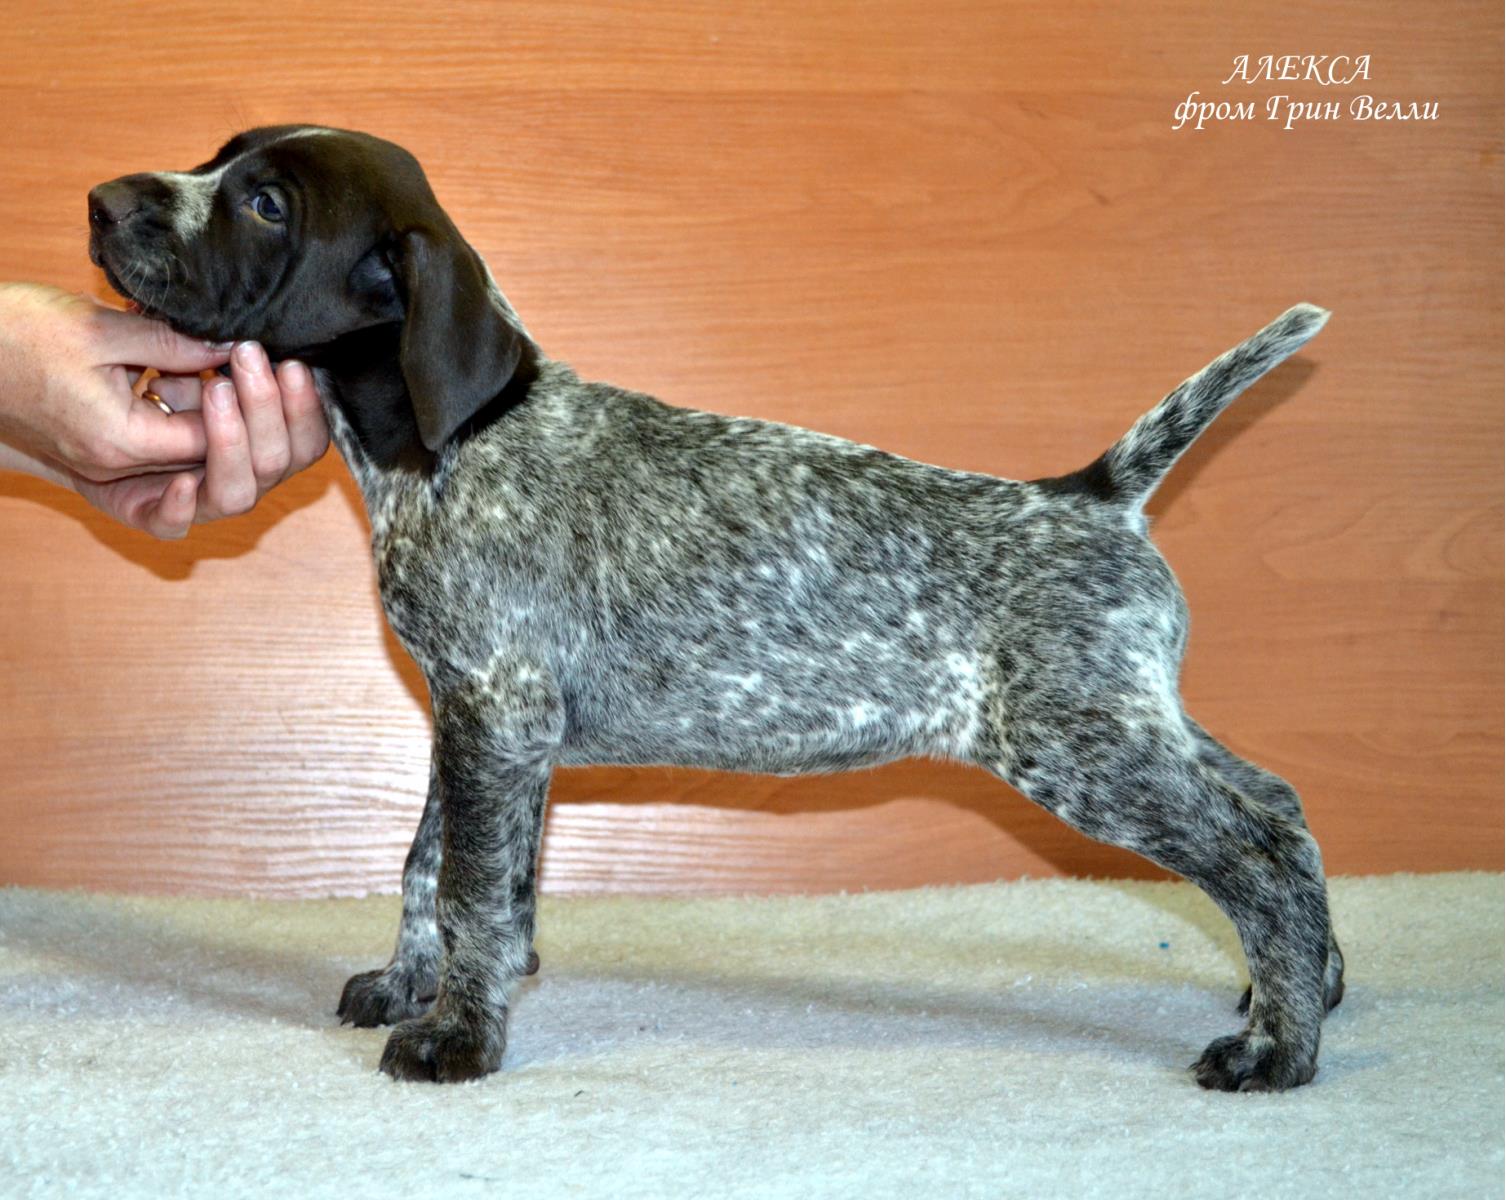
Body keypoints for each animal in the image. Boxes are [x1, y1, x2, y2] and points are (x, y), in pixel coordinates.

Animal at [87, 124, 1344, 1090]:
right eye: (219, 157)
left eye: (263, 202)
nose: (103, 199)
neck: (448, 449)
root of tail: (1092, 495)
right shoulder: (475, 720)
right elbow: (430, 869)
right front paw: (413, 986)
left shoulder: (496, 713)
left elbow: (472, 892)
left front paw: (455, 1038)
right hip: (1126, 722)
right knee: (1279, 806)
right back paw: (1309, 989)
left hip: (1079, 750)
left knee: (1256, 855)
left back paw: (1277, 1048)